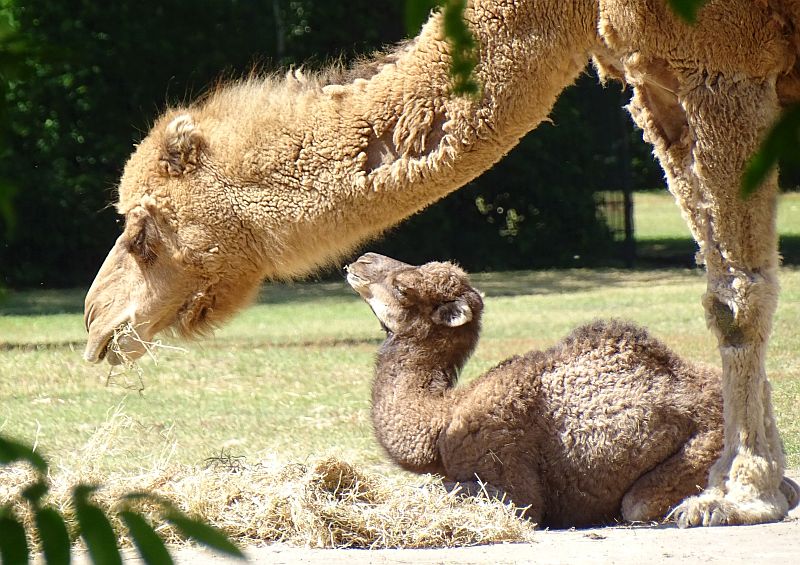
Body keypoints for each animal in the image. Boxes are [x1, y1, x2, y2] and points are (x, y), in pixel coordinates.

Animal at [346, 253, 796, 528]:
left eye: (403, 286)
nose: (360, 261)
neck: (441, 419)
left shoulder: (507, 474)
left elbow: (462, 491)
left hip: (704, 449)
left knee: (638, 504)